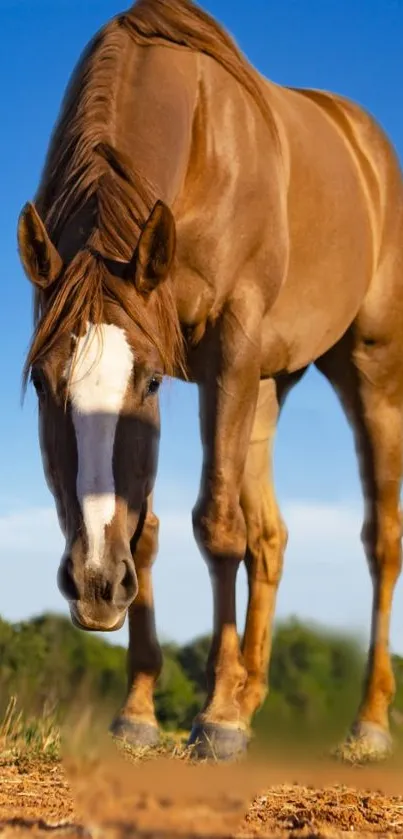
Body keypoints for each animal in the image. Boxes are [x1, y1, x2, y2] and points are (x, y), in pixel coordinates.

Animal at [18, 0, 403, 760]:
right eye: (45, 384)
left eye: (144, 384)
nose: (94, 583)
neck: (200, 144)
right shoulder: (214, 368)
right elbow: (146, 529)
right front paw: (139, 710)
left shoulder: (227, 347)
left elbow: (217, 525)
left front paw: (218, 717)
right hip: (268, 385)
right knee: (272, 536)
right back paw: (253, 694)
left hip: (366, 367)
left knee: (380, 538)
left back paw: (367, 721)